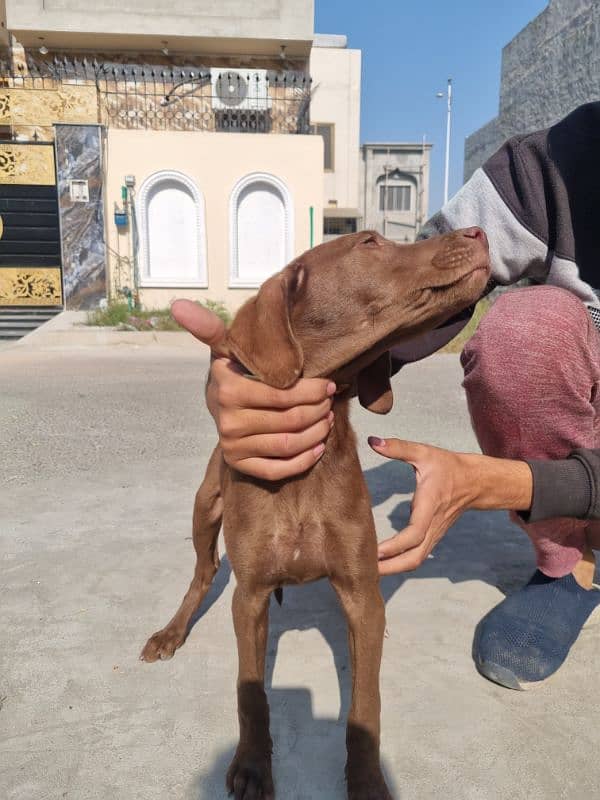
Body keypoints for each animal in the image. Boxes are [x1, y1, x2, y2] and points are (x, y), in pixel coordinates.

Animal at [143, 228, 490, 800]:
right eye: (369, 242)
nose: (479, 233)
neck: (305, 474)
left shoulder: (361, 594)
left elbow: (365, 702)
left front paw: (367, 779)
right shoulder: (250, 597)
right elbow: (251, 694)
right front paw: (252, 766)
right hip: (205, 506)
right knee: (204, 571)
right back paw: (171, 631)